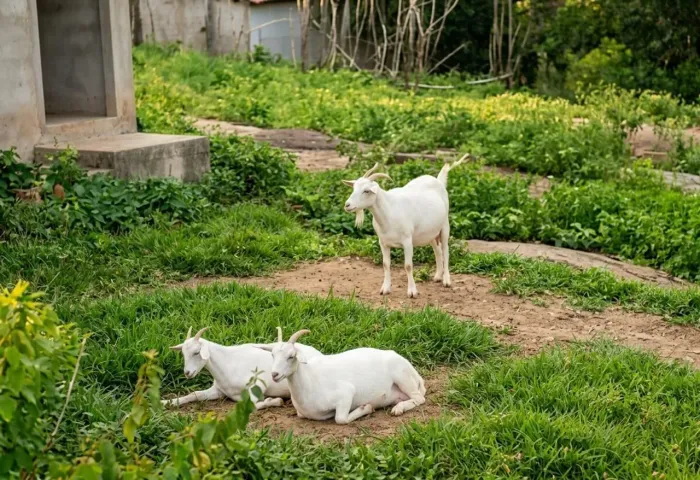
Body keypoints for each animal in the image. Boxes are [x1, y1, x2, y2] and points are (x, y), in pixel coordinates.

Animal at [163, 326, 323, 410]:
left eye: (197, 352)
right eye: (183, 353)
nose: (187, 373)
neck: (227, 362)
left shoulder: (258, 385)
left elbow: (251, 405)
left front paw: (274, 401)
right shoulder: (219, 391)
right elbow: (194, 394)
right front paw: (167, 402)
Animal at [256, 329, 426, 424]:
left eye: (291, 356)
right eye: (272, 355)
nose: (274, 374)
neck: (310, 381)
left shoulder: (345, 392)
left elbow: (340, 419)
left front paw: (366, 408)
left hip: (402, 376)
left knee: (419, 398)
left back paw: (398, 409)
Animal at [343, 155, 466, 298]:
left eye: (366, 191)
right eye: (353, 188)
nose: (347, 205)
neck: (389, 210)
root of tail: (438, 180)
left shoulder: (407, 241)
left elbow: (408, 266)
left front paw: (412, 291)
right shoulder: (383, 242)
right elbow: (385, 264)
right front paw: (385, 289)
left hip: (445, 225)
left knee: (446, 250)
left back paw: (446, 280)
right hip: (431, 232)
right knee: (437, 251)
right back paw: (438, 276)